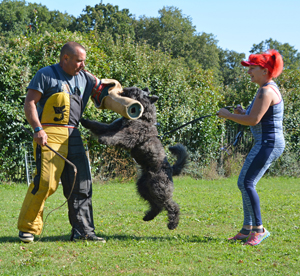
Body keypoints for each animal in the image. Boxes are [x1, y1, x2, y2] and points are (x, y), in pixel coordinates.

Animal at [79, 87, 188, 230]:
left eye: (136, 91)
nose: (125, 89)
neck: (142, 118)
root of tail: (170, 168)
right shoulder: (113, 126)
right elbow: (99, 126)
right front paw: (85, 121)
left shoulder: (130, 135)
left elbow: (116, 136)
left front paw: (104, 139)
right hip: (144, 187)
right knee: (157, 205)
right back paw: (149, 216)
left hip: (159, 187)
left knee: (171, 204)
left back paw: (172, 223)